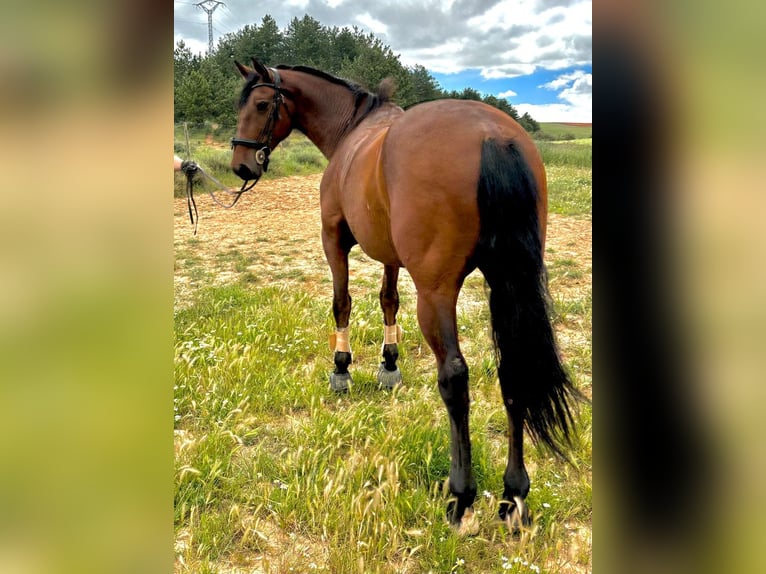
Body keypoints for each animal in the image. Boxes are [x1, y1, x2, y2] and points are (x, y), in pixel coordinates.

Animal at [231, 59, 580, 536]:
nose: (240, 165)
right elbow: (387, 299)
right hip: (506, 282)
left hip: (436, 293)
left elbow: (342, 302)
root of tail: (491, 134)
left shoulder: (333, 238)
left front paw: (342, 369)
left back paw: (460, 498)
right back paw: (514, 496)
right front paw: (389, 364)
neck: (354, 130)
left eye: (263, 104)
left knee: (455, 378)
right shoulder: (389, 254)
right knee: (513, 371)